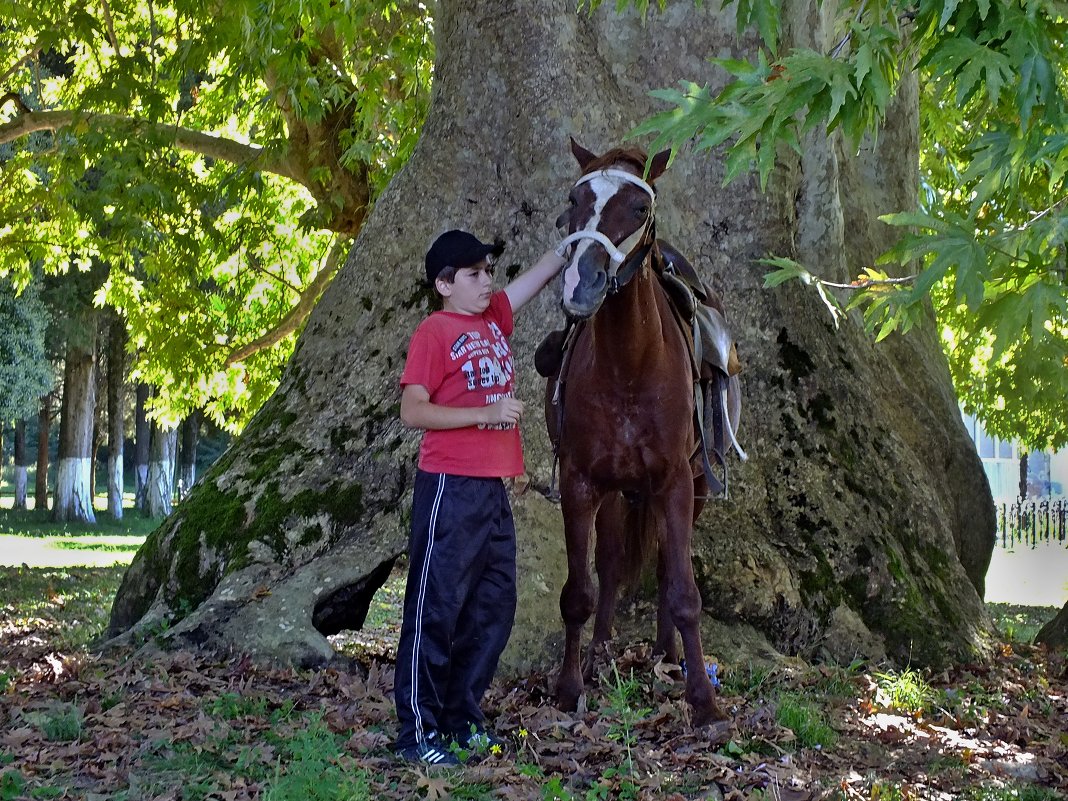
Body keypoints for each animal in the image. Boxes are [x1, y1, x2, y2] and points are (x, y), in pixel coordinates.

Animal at [542, 137, 743, 726]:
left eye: (639, 208)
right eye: (574, 199)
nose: (580, 285)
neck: (629, 365)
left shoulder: (674, 482)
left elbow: (683, 592)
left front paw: (704, 702)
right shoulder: (581, 483)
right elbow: (580, 591)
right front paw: (568, 688)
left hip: (693, 487)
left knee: (663, 568)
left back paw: (666, 655)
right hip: (617, 492)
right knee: (611, 567)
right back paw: (601, 655)